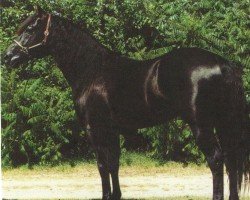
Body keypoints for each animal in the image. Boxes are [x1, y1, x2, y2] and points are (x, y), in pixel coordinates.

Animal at [4, 7, 249, 199]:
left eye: (30, 29)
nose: (8, 56)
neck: (92, 70)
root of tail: (224, 64)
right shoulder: (112, 131)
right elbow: (114, 164)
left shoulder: (95, 130)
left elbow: (102, 165)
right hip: (223, 123)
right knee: (231, 160)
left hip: (201, 125)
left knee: (216, 160)